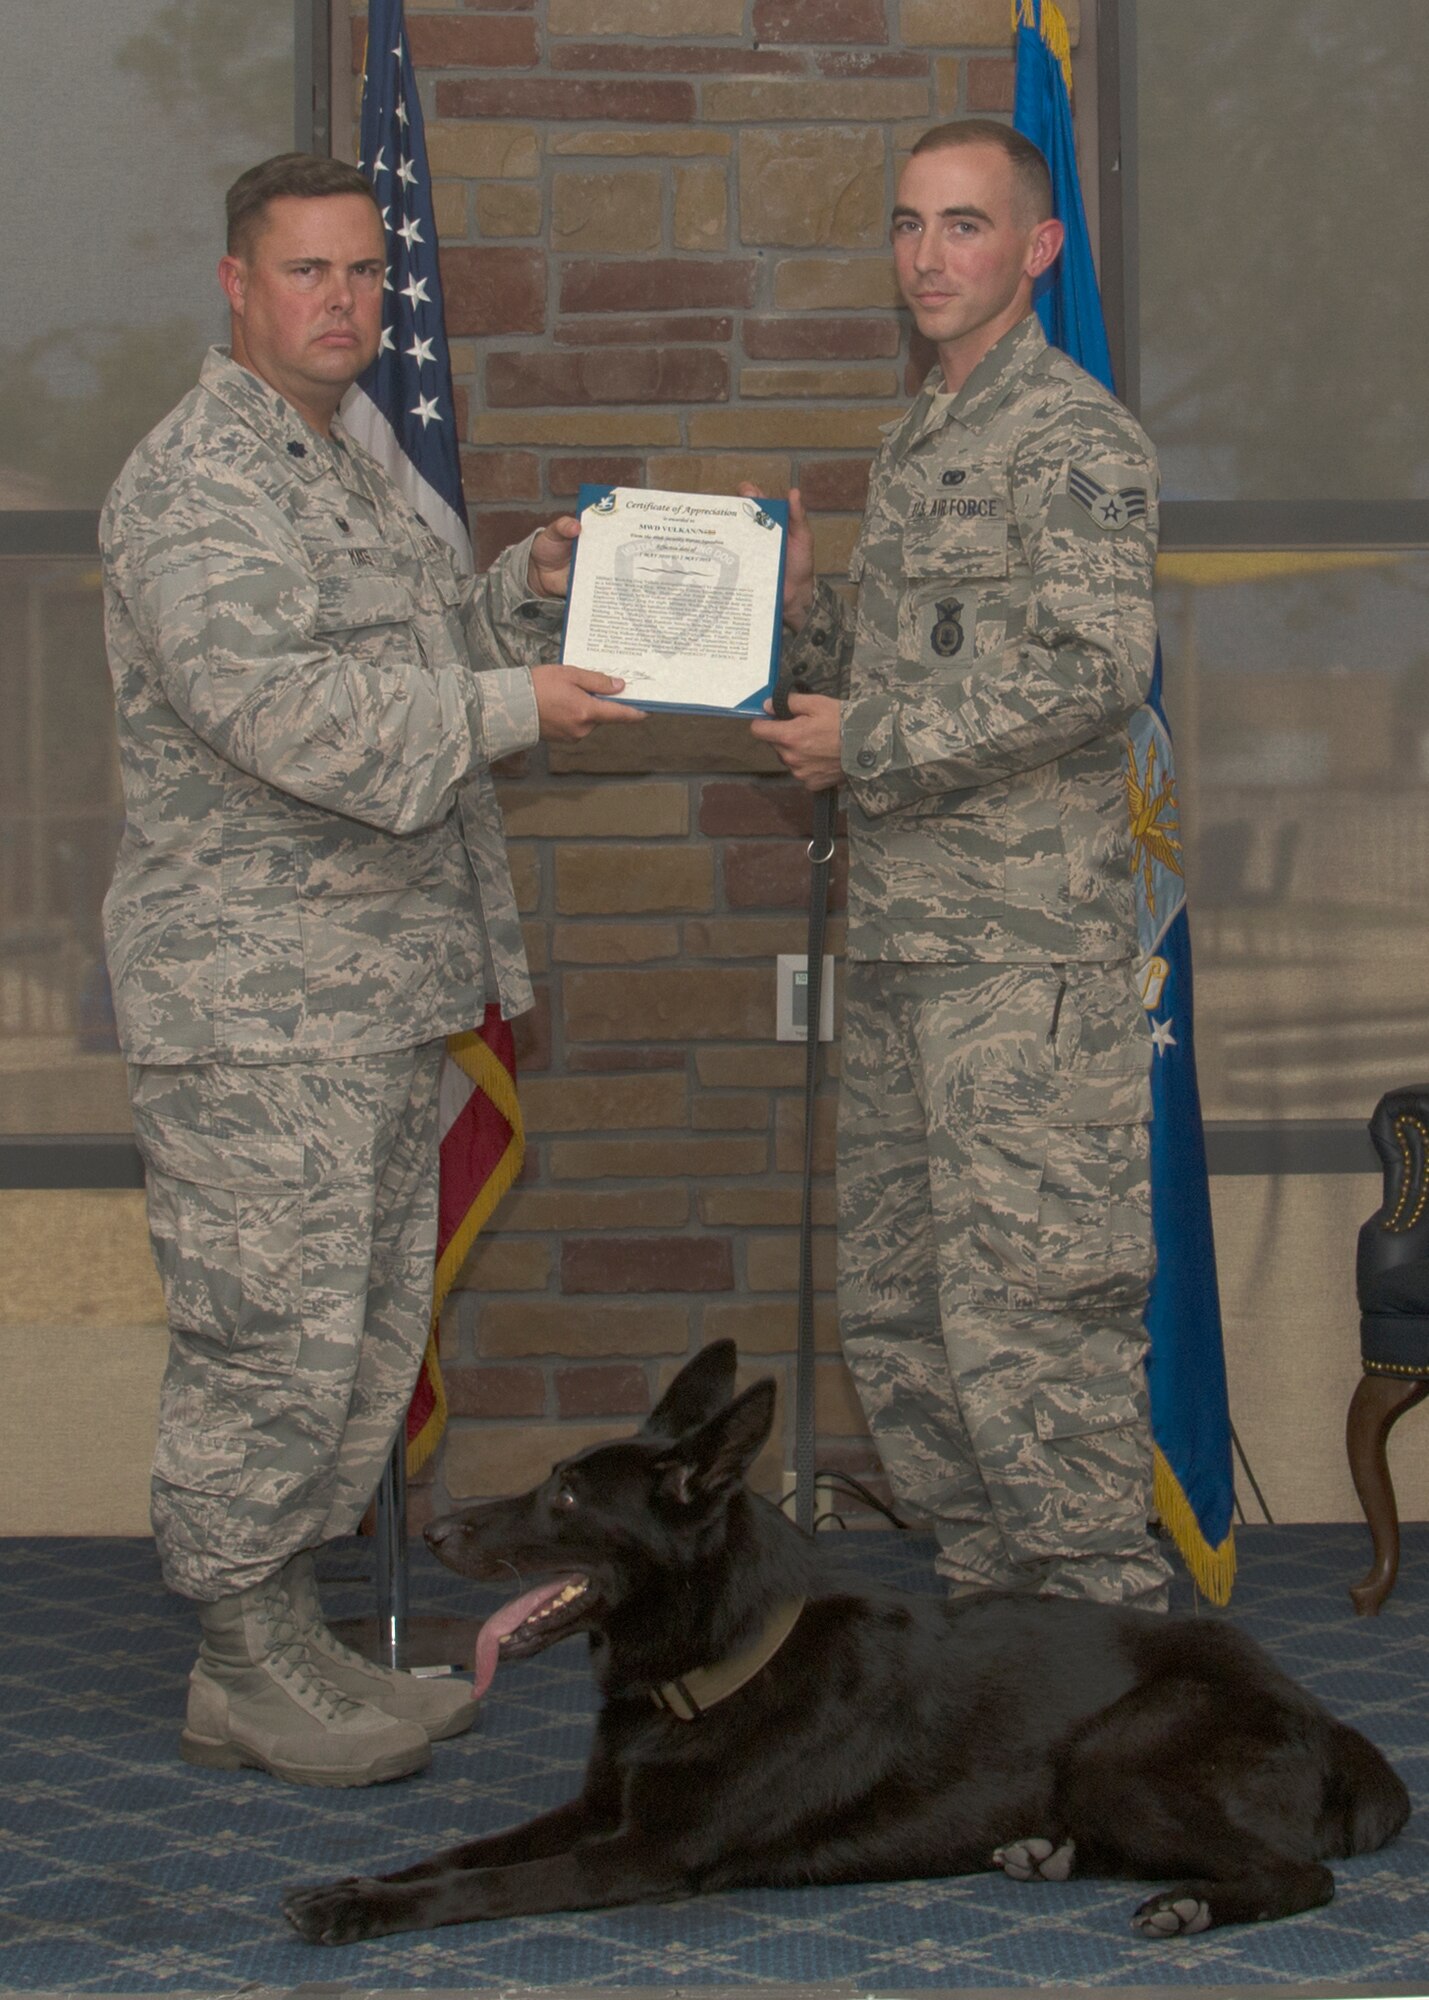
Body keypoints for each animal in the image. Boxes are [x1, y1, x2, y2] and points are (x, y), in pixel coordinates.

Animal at [280, 1336, 1400, 1944]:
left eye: (562, 1495)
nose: (433, 1534)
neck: (716, 1671)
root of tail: (1330, 1722)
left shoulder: (641, 1852)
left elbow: (487, 1882)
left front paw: (363, 1912)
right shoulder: (593, 1810)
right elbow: (462, 1849)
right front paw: (361, 1882)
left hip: (1120, 1754)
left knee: (1298, 1874)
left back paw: (1188, 1906)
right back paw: (1044, 1855)